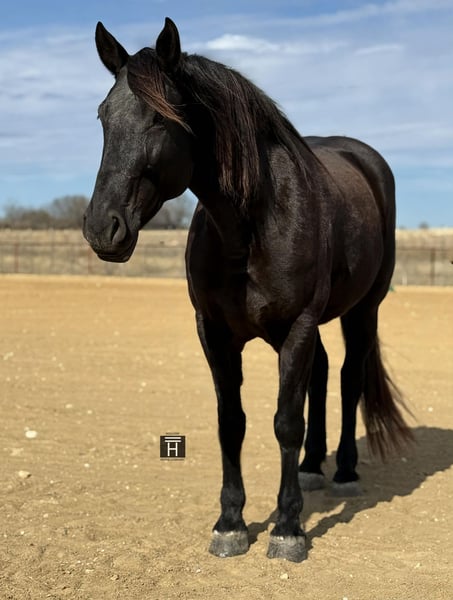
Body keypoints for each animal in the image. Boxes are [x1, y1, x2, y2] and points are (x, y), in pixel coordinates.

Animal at [83, 18, 413, 562]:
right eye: (104, 116)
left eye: (160, 118)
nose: (101, 228)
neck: (253, 226)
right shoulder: (215, 333)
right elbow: (231, 421)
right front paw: (231, 523)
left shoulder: (298, 326)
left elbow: (285, 422)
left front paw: (288, 529)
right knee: (323, 374)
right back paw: (313, 467)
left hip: (364, 310)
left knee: (349, 379)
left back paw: (343, 471)